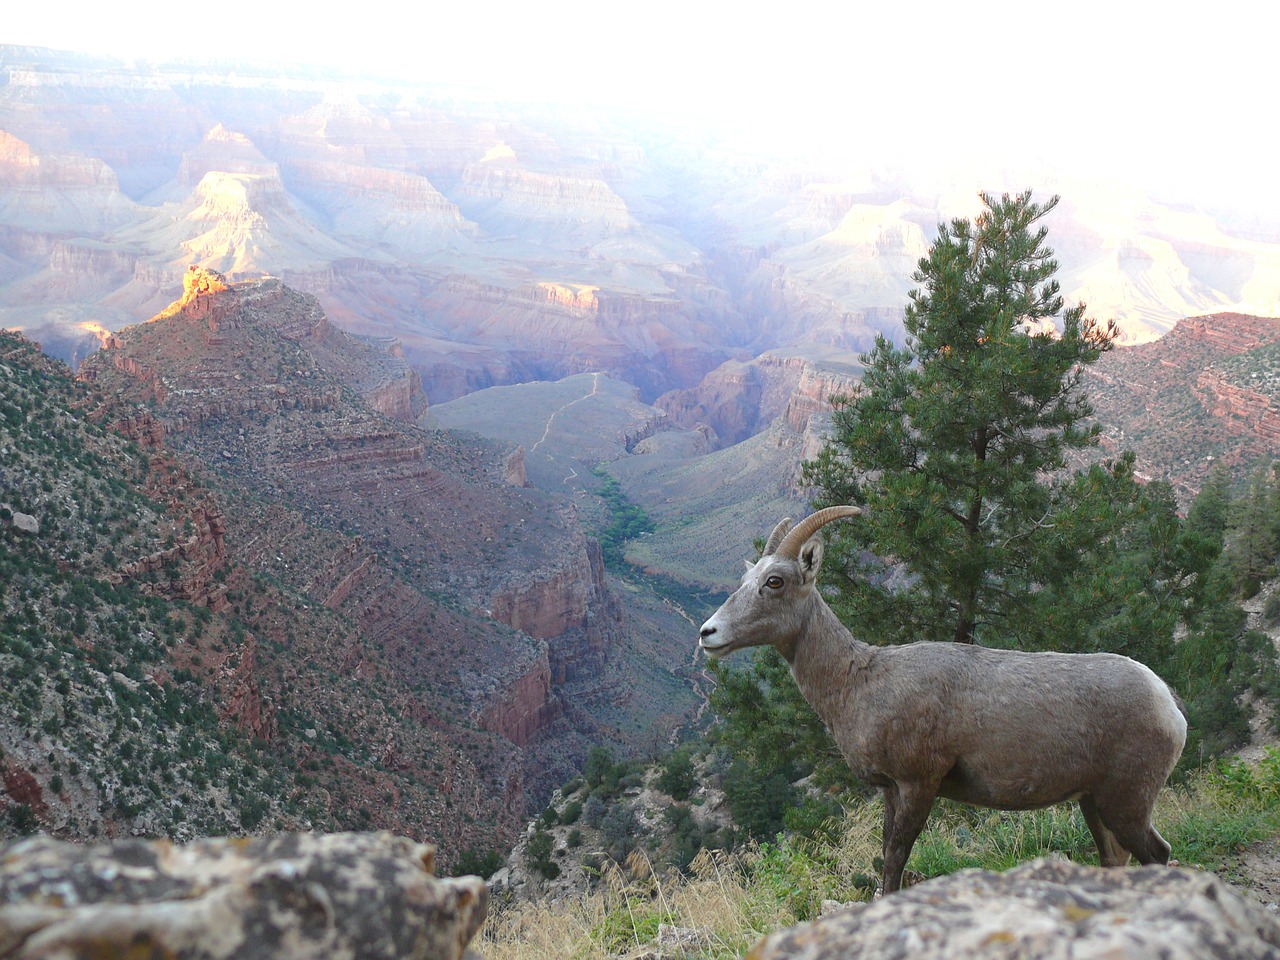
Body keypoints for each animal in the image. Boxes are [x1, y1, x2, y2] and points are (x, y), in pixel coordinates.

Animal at [701, 506, 1187, 901]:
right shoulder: (891, 790)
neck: (859, 682)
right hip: (1095, 804)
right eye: (746, 580)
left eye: (775, 582)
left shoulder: (919, 783)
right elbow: (886, 852)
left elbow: (896, 859)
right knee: (1118, 859)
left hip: (1125, 802)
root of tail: (1169, 706)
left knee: (1158, 854)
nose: (708, 633)